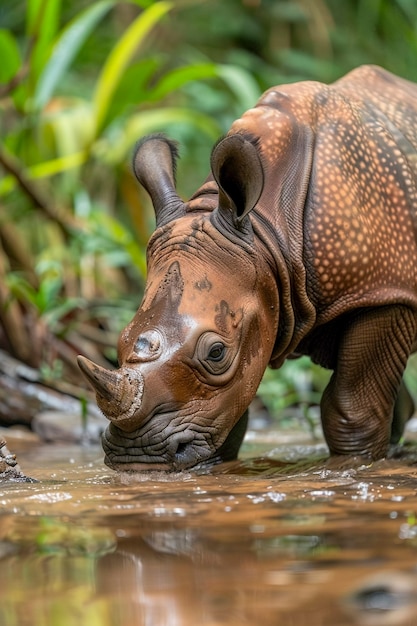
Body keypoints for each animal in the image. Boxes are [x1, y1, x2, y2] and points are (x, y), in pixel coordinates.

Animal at [77, 66, 416, 470]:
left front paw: (352, 467)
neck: (267, 234)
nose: (137, 457)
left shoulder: (381, 291)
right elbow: (232, 417)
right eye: (120, 340)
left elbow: (351, 412)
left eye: (216, 353)